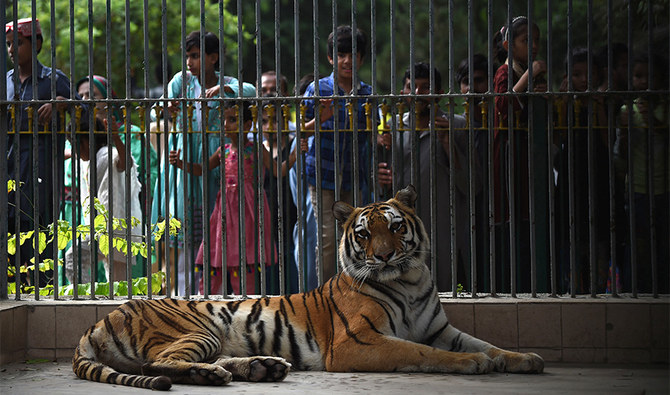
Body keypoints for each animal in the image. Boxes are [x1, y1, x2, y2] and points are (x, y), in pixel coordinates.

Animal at [72, 185, 544, 390]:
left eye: (394, 228)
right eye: (365, 235)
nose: (385, 256)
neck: (409, 281)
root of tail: (100, 319)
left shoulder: (440, 328)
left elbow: (486, 343)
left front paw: (524, 359)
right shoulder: (359, 342)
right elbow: (421, 353)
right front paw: (472, 365)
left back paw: (261, 367)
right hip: (196, 330)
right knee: (160, 364)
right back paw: (217, 375)